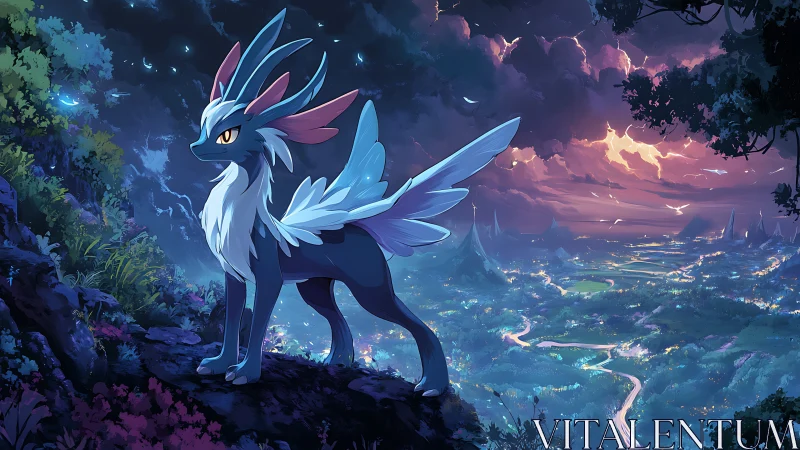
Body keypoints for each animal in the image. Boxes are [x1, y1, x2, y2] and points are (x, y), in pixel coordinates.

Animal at [191, 9, 520, 396]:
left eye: (228, 135)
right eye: (204, 125)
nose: (195, 147)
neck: (239, 213)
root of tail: (360, 223)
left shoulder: (270, 276)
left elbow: (257, 323)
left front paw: (247, 372)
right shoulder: (234, 274)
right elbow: (231, 319)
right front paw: (219, 364)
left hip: (370, 287)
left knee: (412, 322)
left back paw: (431, 385)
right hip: (314, 286)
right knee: (337, 317)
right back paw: (336, 362)